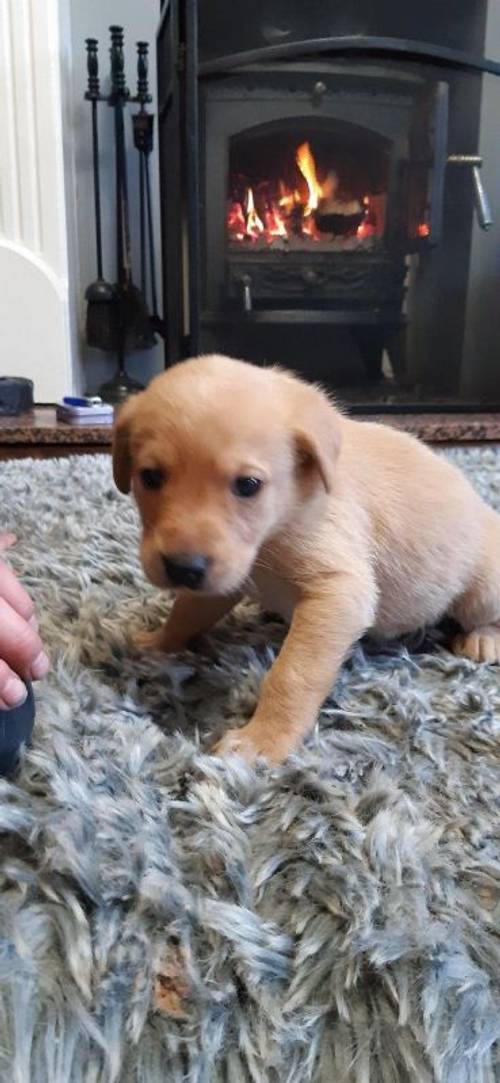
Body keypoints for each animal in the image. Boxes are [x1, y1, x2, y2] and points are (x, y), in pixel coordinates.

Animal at [112, 355, 500, 762]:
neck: (277, 525)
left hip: (482, 589)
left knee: (485, 614)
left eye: (248, 485)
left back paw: (483, 639)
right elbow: (186, 612)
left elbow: (293, 675)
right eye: (149, 477)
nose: (183, 568)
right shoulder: (223, 578)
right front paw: (158, 641)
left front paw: (262, 740)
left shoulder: (339, 591)